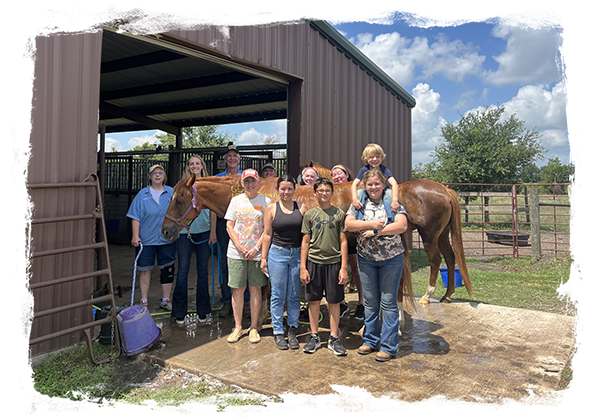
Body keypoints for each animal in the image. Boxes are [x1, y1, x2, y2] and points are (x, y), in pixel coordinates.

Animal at [300, 161, 474, 304]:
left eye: (306, 176)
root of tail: (444, 189)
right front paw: (350, 285)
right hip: (442, 235)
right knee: (450, 258)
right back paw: (447, 295)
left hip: (429, 235)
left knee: (436, 260)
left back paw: (427, 295)